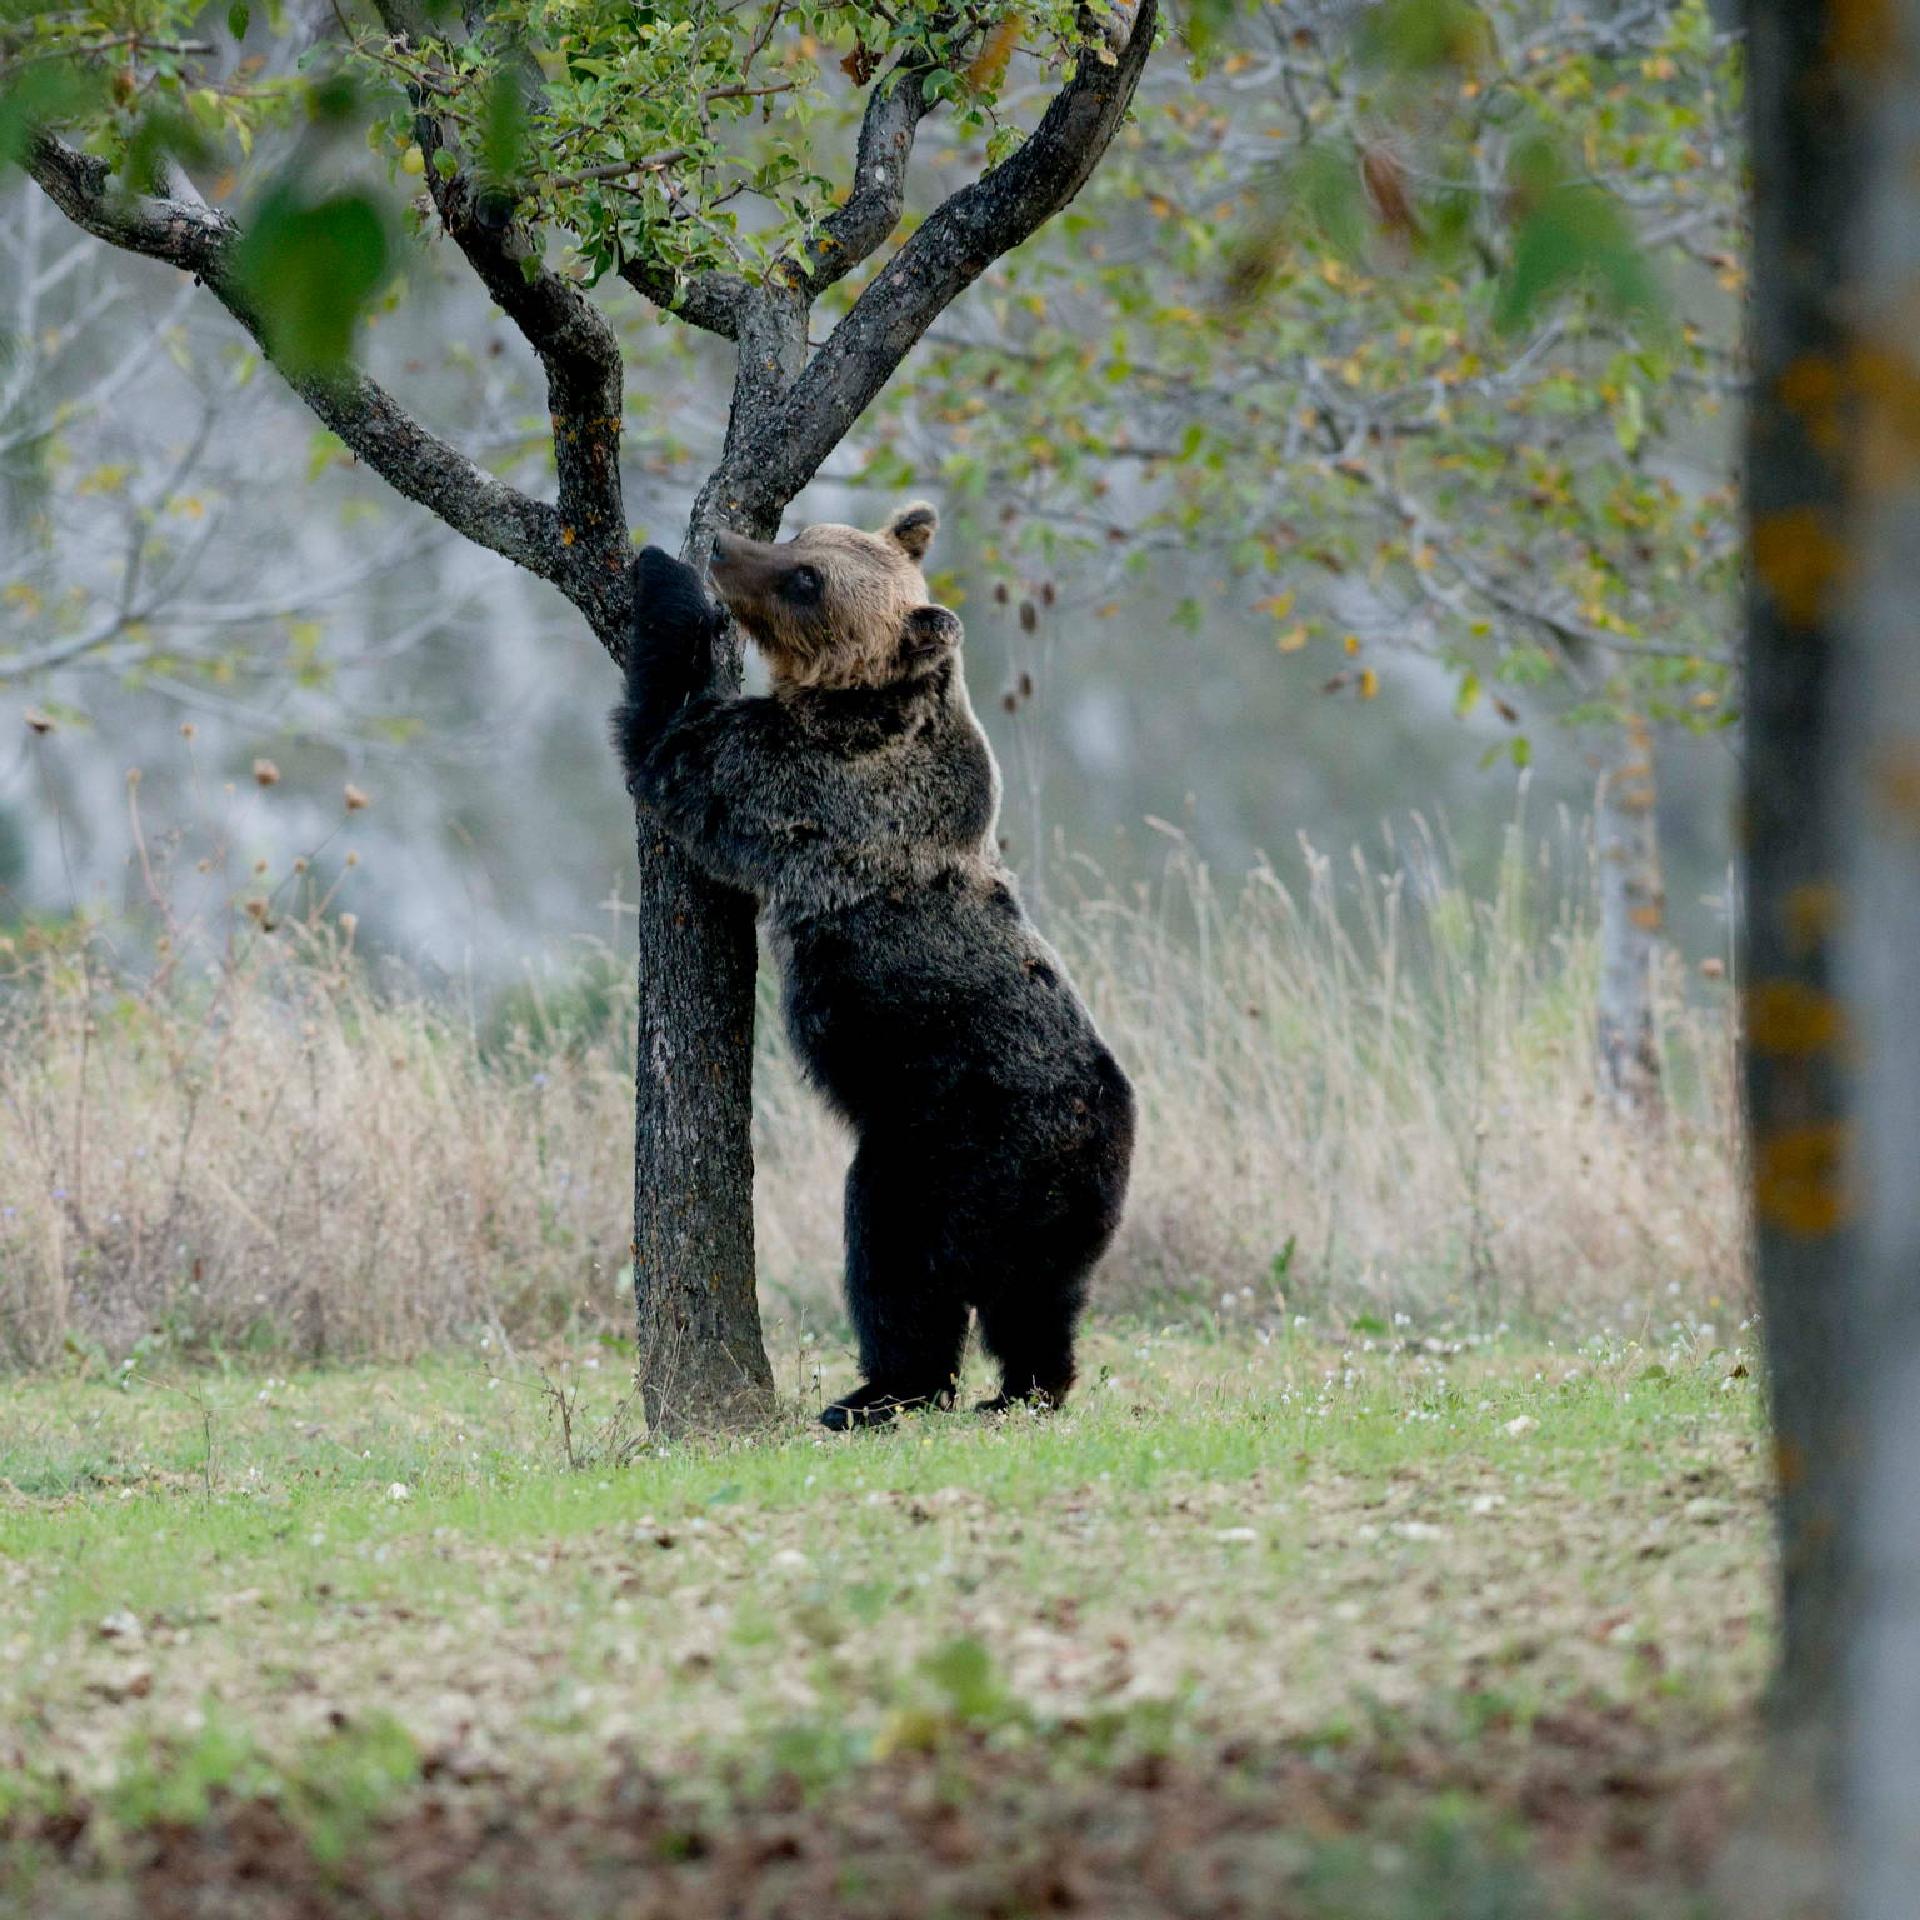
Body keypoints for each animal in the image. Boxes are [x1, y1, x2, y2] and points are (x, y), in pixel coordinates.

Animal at [614, 503, 1135, 1430]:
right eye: (802, 535)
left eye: (806, 578)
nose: (728, 549)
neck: (860, 705)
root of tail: (1106, 1131)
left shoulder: (809, 784)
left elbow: (676, 748)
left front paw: (661, 577)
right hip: (1046, 1199)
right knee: (1040, 1301)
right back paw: (1022, 1389)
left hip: (946, 1148)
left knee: (901, 1273)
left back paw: (880, 1392)